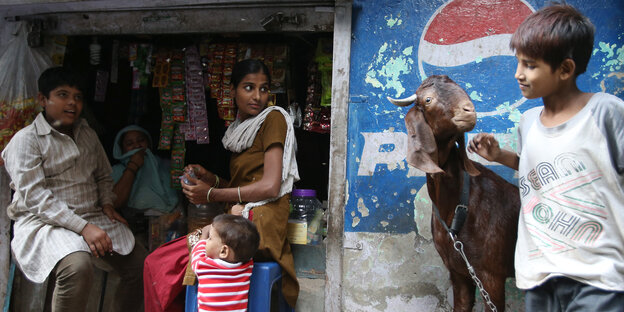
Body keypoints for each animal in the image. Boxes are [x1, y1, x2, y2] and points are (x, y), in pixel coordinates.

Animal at [388, 75, 520, 310]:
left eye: (463, 90)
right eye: (428, 99)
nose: (469, 111)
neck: (456, 206)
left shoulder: (492, 276)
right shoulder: (459, 272)